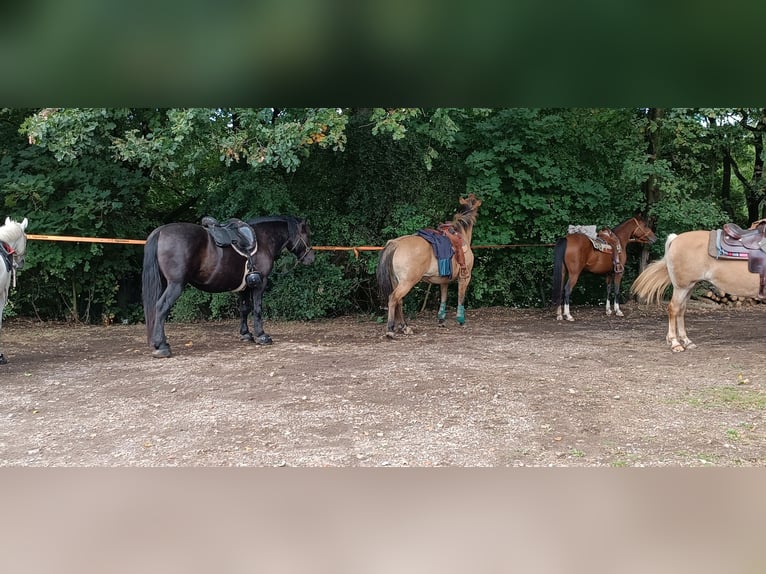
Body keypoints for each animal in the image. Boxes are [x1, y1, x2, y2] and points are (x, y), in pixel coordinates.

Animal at [142, 215, 314, 357]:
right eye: (306, 235)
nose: (311, 258)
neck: (263, 240)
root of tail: (161, 232)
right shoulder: (260, 283)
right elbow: (257, 309)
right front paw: (261, 336)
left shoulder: (245, 286)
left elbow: (244, 309)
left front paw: (246, 334)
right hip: (176, 284)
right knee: (161, 307)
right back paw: (162, 346)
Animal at [376, 194, 482, 338]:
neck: (461, 236)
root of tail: (396, 243)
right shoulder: (465, 277)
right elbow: (461, 297)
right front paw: (461, 320)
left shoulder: (444, 281)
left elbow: (443, 299)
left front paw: (441, 320)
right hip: (407, 282)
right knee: (393, 299)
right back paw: (390, 330)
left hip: (396, 281)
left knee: (399, 301)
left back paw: (405, 327)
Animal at [631, 229, 765, 352]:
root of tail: (675, 239)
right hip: (682, 287)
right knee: (674, 308)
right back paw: (675, 343)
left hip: (689, 287)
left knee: (681, 309)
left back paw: (686, 341)